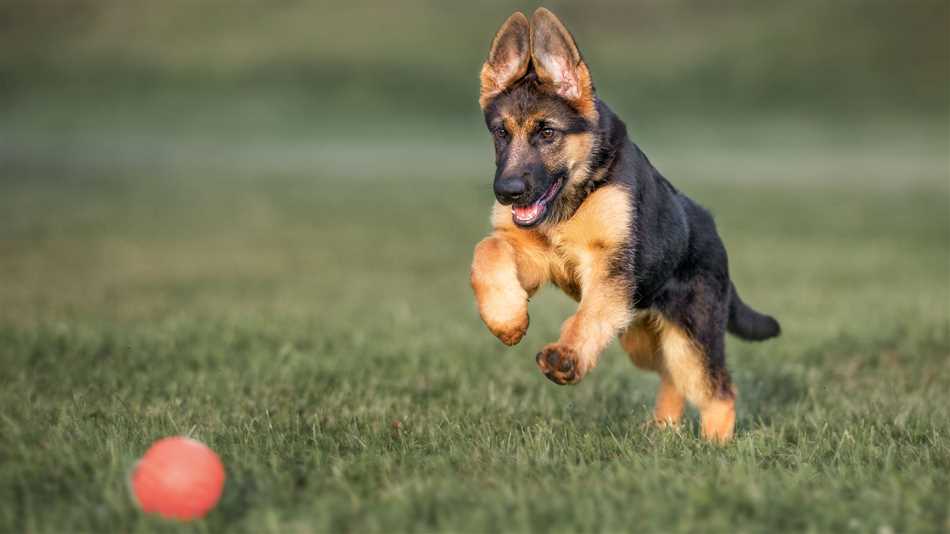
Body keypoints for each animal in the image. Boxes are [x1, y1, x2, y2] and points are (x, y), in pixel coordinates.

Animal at [470, 8, 780, 444]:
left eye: (547, 132)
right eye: (501, 132)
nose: (507, 192)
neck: (575, 195)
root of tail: (712, 229)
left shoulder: (612, 269)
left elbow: (588, 315)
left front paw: (567, 356)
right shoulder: (535, 256)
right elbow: (488, 249)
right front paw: (506, 319)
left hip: (691, 332)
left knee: (716, 387)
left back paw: (714, 444)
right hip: (640, 337)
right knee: (671, 375)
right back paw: (664, 428)